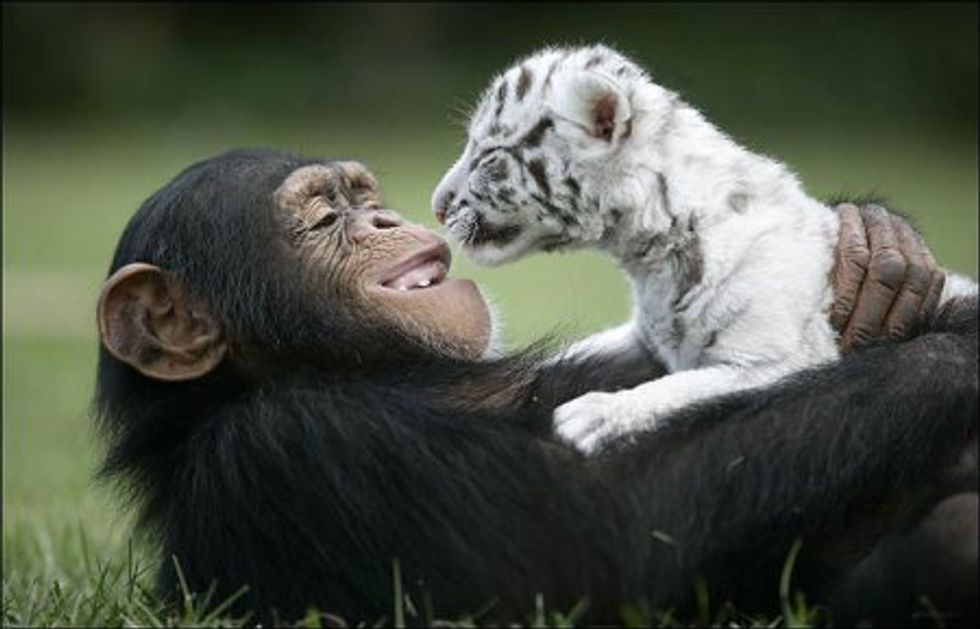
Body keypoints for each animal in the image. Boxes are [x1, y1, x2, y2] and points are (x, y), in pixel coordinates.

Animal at [92, 150, 972, 624]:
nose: (385, 221)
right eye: (320, 219)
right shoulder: (292, 449)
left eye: (362, 197)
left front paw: (875, 249)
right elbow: (606, 552)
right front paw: (957, 353)